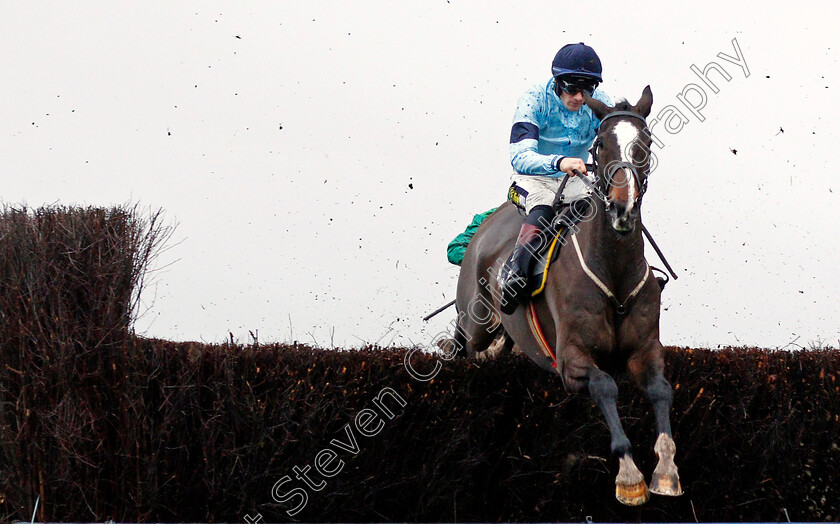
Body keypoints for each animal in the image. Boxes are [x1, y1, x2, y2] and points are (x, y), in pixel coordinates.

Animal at [452, 87, 684, 508]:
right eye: (600, 143)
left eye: (645, 143)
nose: (623, 206)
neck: (614, 273)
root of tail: (484, 228)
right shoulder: (572, 360)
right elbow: (605, 386)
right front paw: (629, 477)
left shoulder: (646, 349)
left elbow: (660, 390)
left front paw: (665, 470)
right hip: (475, 319)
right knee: (469, 346)